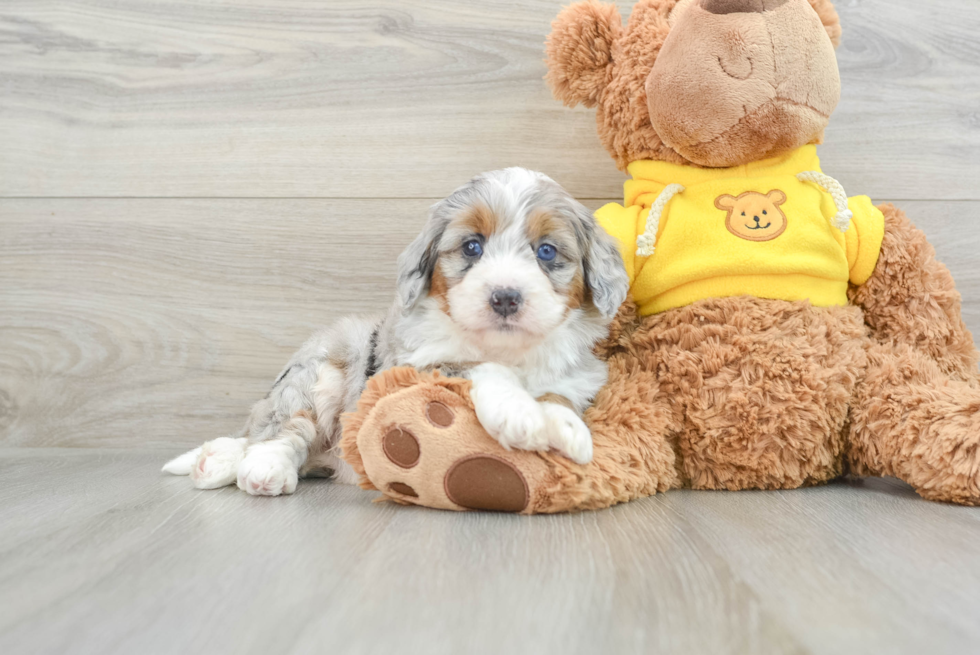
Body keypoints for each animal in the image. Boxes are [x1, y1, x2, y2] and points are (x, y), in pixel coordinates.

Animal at [163, 169, 628, 498]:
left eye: (546, 251)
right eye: (472, 246)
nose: (505, 297)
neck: (509, 349)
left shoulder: (578, 378)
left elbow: (558, 395)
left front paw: (567, 428)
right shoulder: (409, 369)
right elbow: (479, 367)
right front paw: (520, 415)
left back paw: (215, 460)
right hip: (322, 374)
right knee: (281, 430)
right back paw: (258, 468)